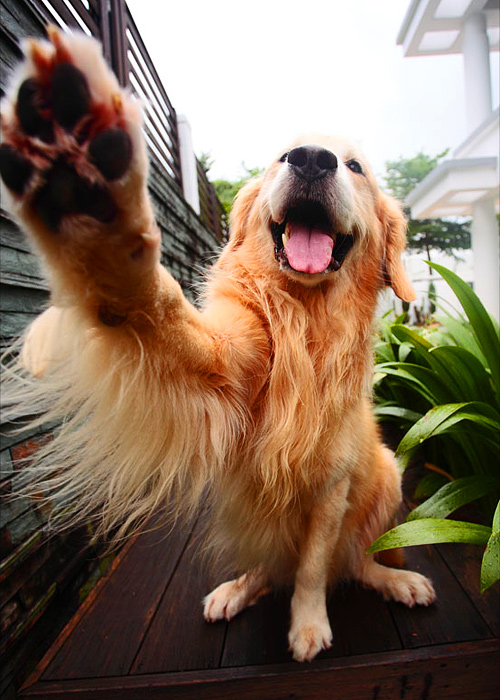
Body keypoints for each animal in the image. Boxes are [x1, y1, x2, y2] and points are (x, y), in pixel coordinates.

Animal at [0, 28, 436, 660]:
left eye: (355, 166)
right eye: (284, 153)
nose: (312, 159)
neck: (305, 318)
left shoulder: (331, 487)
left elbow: (313, 569)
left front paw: (308, 624)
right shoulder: (220, 367)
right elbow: (156, 311)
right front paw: (93, 212)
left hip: (386, 473)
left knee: (352, 559)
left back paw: (395, 579)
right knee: (270, 566)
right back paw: (239, 587)